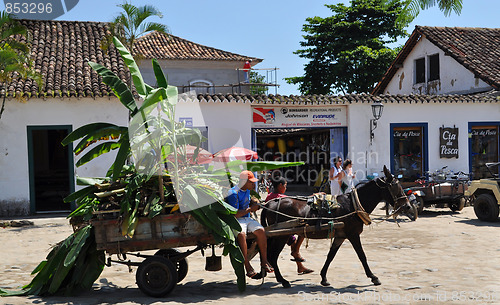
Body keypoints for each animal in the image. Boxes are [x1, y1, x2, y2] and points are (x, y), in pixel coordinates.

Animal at [260, 166, 408, 288]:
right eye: (395, 186)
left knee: (269, 255)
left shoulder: (340, 236)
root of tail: (269, 204)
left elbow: (331, 256)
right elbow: (362, 255)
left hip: (277, 236)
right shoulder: (353, 235)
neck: (353, 205)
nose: (406, 205)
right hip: (282, 235)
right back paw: (283, 281)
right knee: (272, 256)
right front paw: (373, 277)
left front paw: (324, 278)